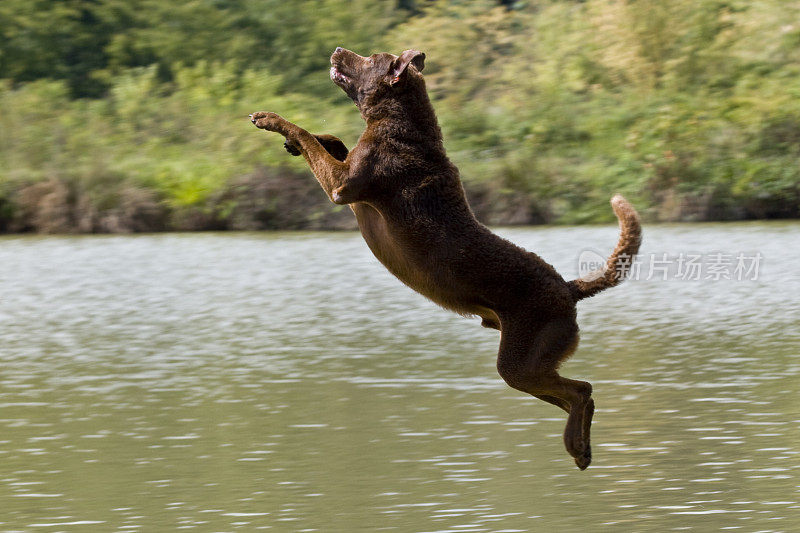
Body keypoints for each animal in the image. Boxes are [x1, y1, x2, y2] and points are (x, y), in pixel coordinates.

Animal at [252, 47, 644, 468]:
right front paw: (306, 140)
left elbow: (305, 134)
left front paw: (270, 119)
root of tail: (570, 289)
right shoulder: (348, 174)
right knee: (574, 394)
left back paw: (577, 446)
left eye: (370, 57)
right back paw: (581, 446)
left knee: (581, 390)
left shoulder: (342, 187)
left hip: (520, 362)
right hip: (531, 366)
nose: (339, 49)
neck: (402, 124)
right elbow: (332, 141)